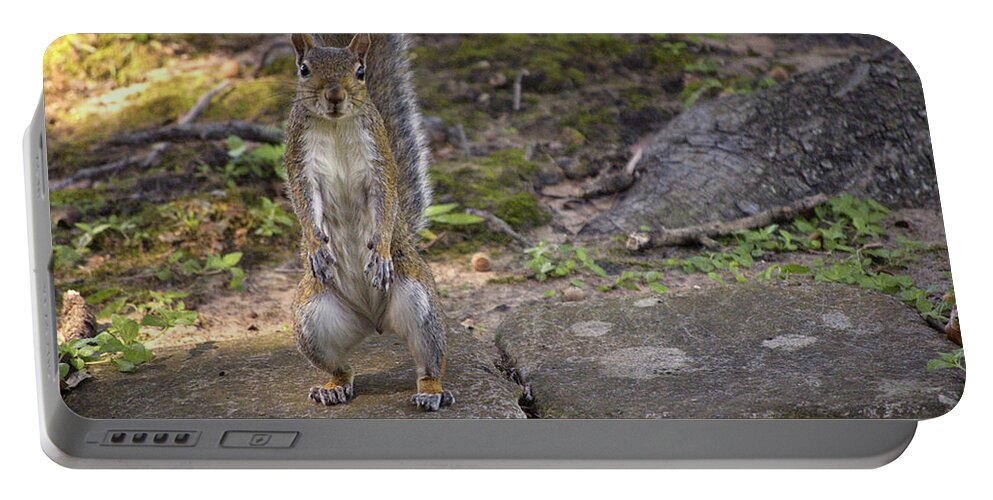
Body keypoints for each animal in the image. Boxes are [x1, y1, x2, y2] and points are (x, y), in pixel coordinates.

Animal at [282, 33, 454, 412]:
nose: (334, 95)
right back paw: (332, 388)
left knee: (430, 361)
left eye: (360, 71)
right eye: (304, 69)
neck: (335, 124)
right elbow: (304, 204)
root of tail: (373, 321)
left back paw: (432, 391)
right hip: (311, 321)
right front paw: (315, 246)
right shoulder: (300, 162)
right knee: (342, 367)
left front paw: (381, 253)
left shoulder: (379, 160)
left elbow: (386, 202)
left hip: (420, 304)